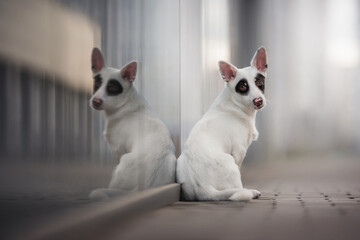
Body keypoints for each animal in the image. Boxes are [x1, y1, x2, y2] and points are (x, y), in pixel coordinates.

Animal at [88, 47, 176, 200]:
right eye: (97, 83)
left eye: (112, 87)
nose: (96, 101)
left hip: (120, 166)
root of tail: (144, 189)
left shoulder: (118, 150)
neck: (124, 102)